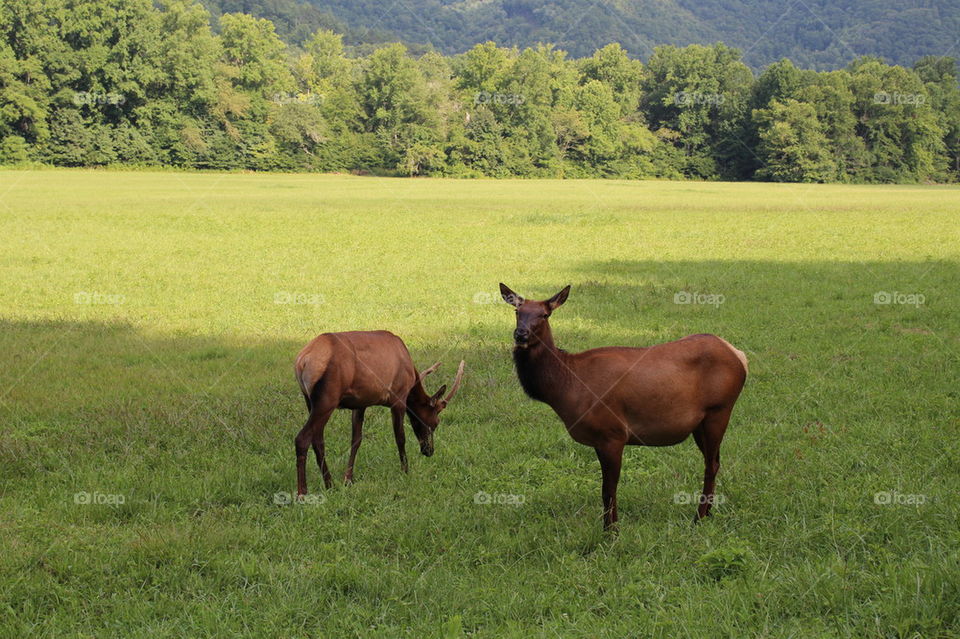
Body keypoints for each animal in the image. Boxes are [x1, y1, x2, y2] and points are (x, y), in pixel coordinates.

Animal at [292, 330, 464, 496]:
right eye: (435, 423)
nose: (429, 450)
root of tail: (302, 361)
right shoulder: (399, 398)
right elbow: (400, 438)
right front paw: (405, 471)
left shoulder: (360, 404)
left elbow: (356, 440)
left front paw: (348, 479)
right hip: (327, 399)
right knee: (302, 438)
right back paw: (302, 493)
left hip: (310, 400)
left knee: (318, 440)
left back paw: (329, 484)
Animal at [502, 284, 752, 528]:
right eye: (517, 311)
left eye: (544, 314)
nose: (520, 334)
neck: (567, 388)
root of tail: (739, 356)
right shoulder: (599, 438)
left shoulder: (613, 433)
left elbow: (608, 490)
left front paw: (611, 531)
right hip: (700, 423)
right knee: (715, 461)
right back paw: (707, 514)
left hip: (719, 410)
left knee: (711, 465)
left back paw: (698, 518)